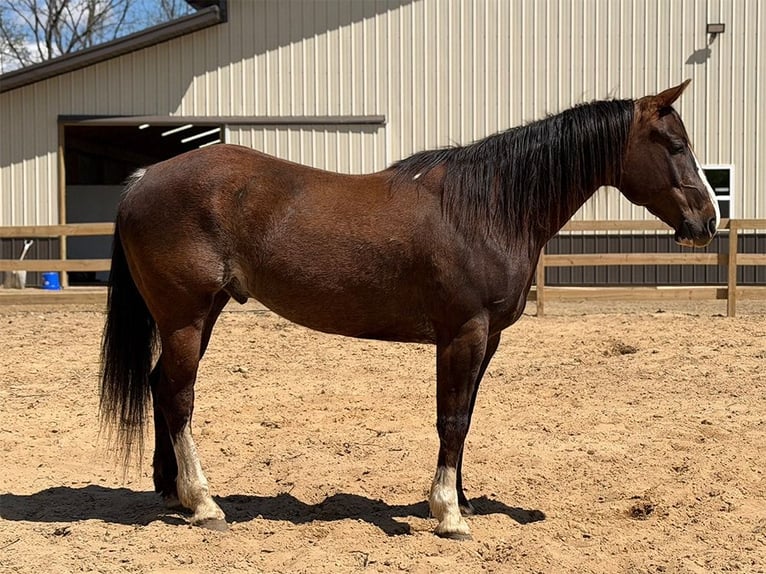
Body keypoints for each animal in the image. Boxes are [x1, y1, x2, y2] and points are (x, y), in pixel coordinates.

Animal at [100, 79, 719, 539]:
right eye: (675, 145)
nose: (708, 222)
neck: (488, 208)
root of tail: (142, 179)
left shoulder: (487, 338)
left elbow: (466, 417)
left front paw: (460, 500)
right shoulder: (463, 333)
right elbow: (452, 417)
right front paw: (447, 514)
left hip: (200, 315)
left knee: (160, 386)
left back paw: (172, 494)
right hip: (185, 317)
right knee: (178, 397)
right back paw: (204, 504)